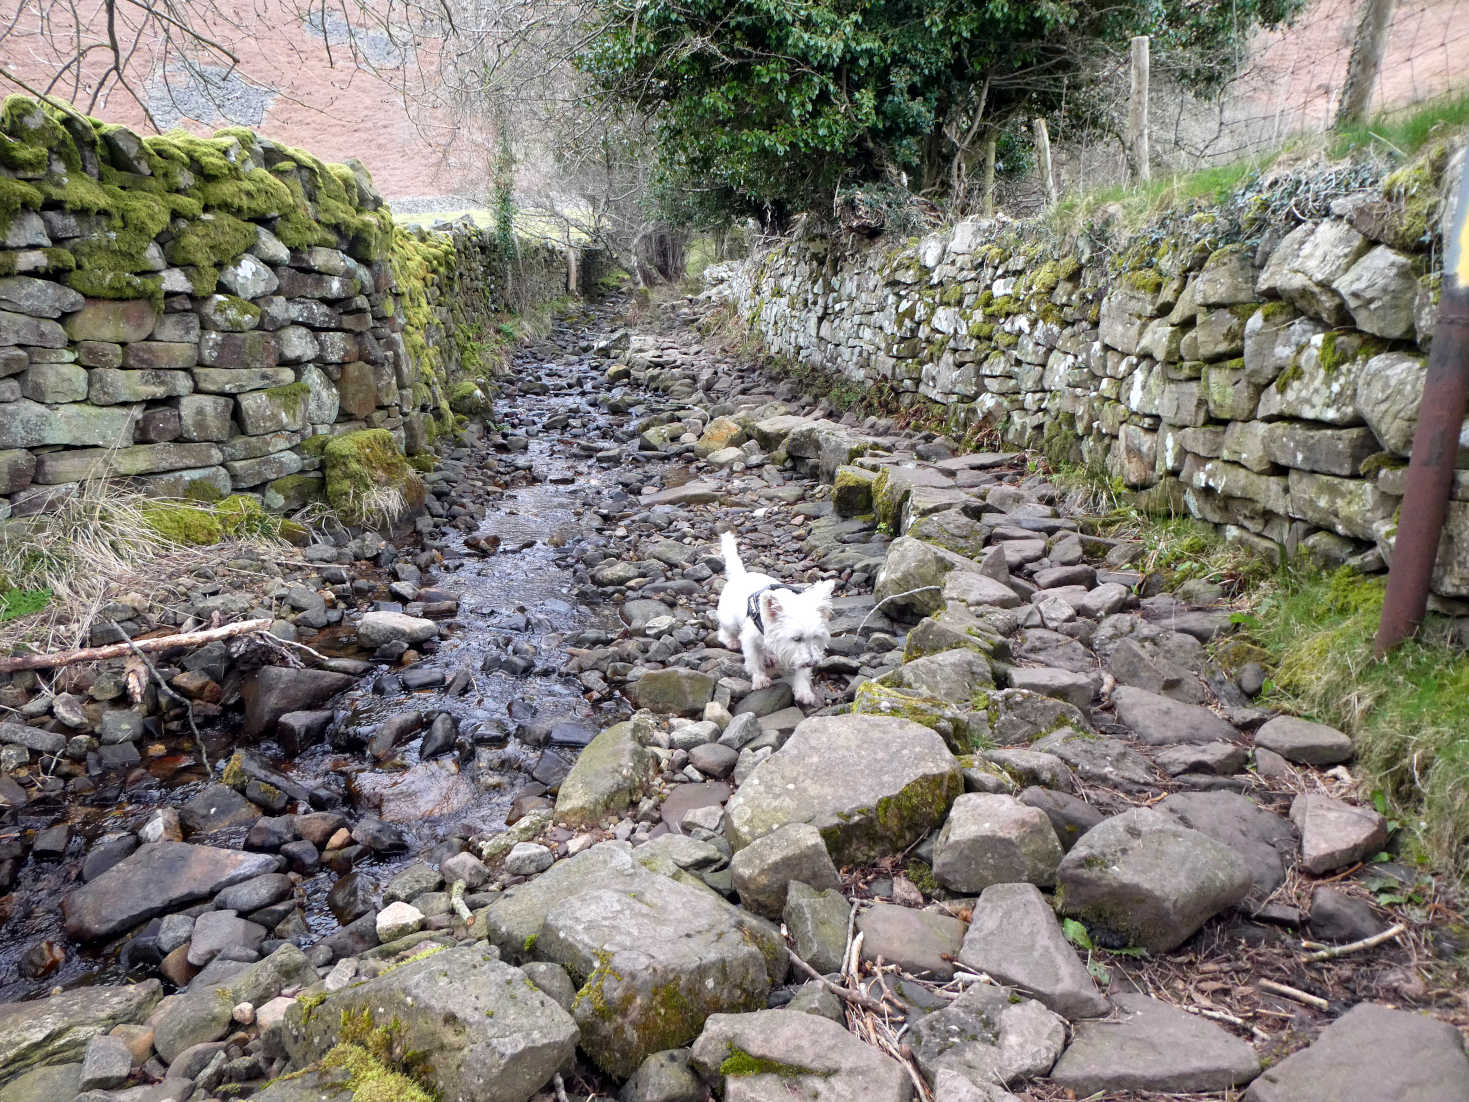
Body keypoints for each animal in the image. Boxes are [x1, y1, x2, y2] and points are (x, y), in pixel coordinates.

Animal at [719, 531, 840, 708]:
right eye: (796, 638)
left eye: (816, 637)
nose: (812, 662)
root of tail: (740, 576)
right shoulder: (749, 639)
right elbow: (753, 659)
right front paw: (760, 678)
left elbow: (802, 671)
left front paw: (804, 691)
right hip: (729, 621)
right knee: (723, 632)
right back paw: (731, 641)